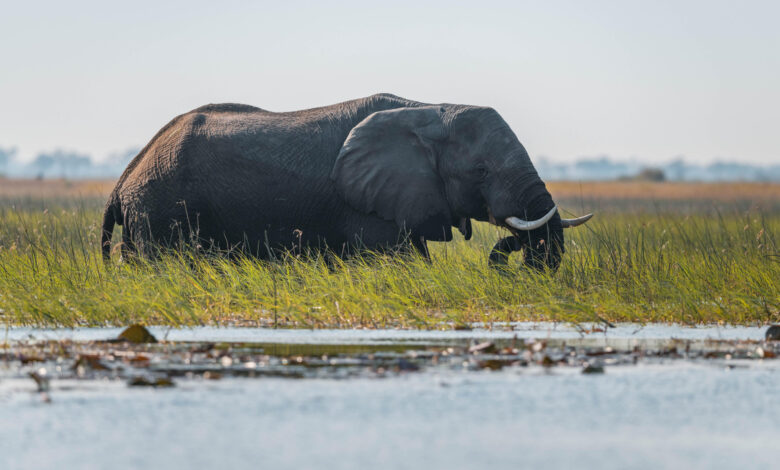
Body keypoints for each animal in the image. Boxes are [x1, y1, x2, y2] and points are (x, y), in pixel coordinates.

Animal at [101, 93, 591, 269]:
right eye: (482, 172)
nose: (512, 255)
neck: (430, 108)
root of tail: (124, 178)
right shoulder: (367, 206)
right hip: (160, 209)